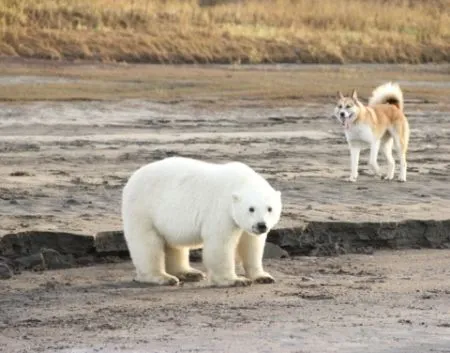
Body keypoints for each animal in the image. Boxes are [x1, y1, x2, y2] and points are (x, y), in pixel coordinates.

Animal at [121, 157, 284, 286]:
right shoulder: (222, 210)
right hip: (143, 210)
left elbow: (251, 245)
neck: (241, 182)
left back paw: (190, 273)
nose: (261, 225)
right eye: (251, 209)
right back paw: (163, 277)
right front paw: (236, 280)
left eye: (269, 208)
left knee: (174, 244)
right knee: (147, 244)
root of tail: (132, 178)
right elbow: (220, 244)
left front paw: (263, 277)